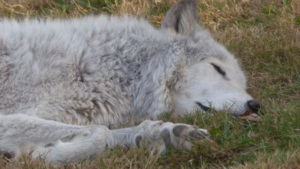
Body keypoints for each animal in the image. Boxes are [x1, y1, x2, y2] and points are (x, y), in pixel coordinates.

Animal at [0, 0, 262, 165]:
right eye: (218, 69)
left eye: (243, 84)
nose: (255, 105)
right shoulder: (10, 116)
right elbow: (102, 133)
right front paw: (45, 156)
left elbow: (115, 133)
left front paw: (166, 134)